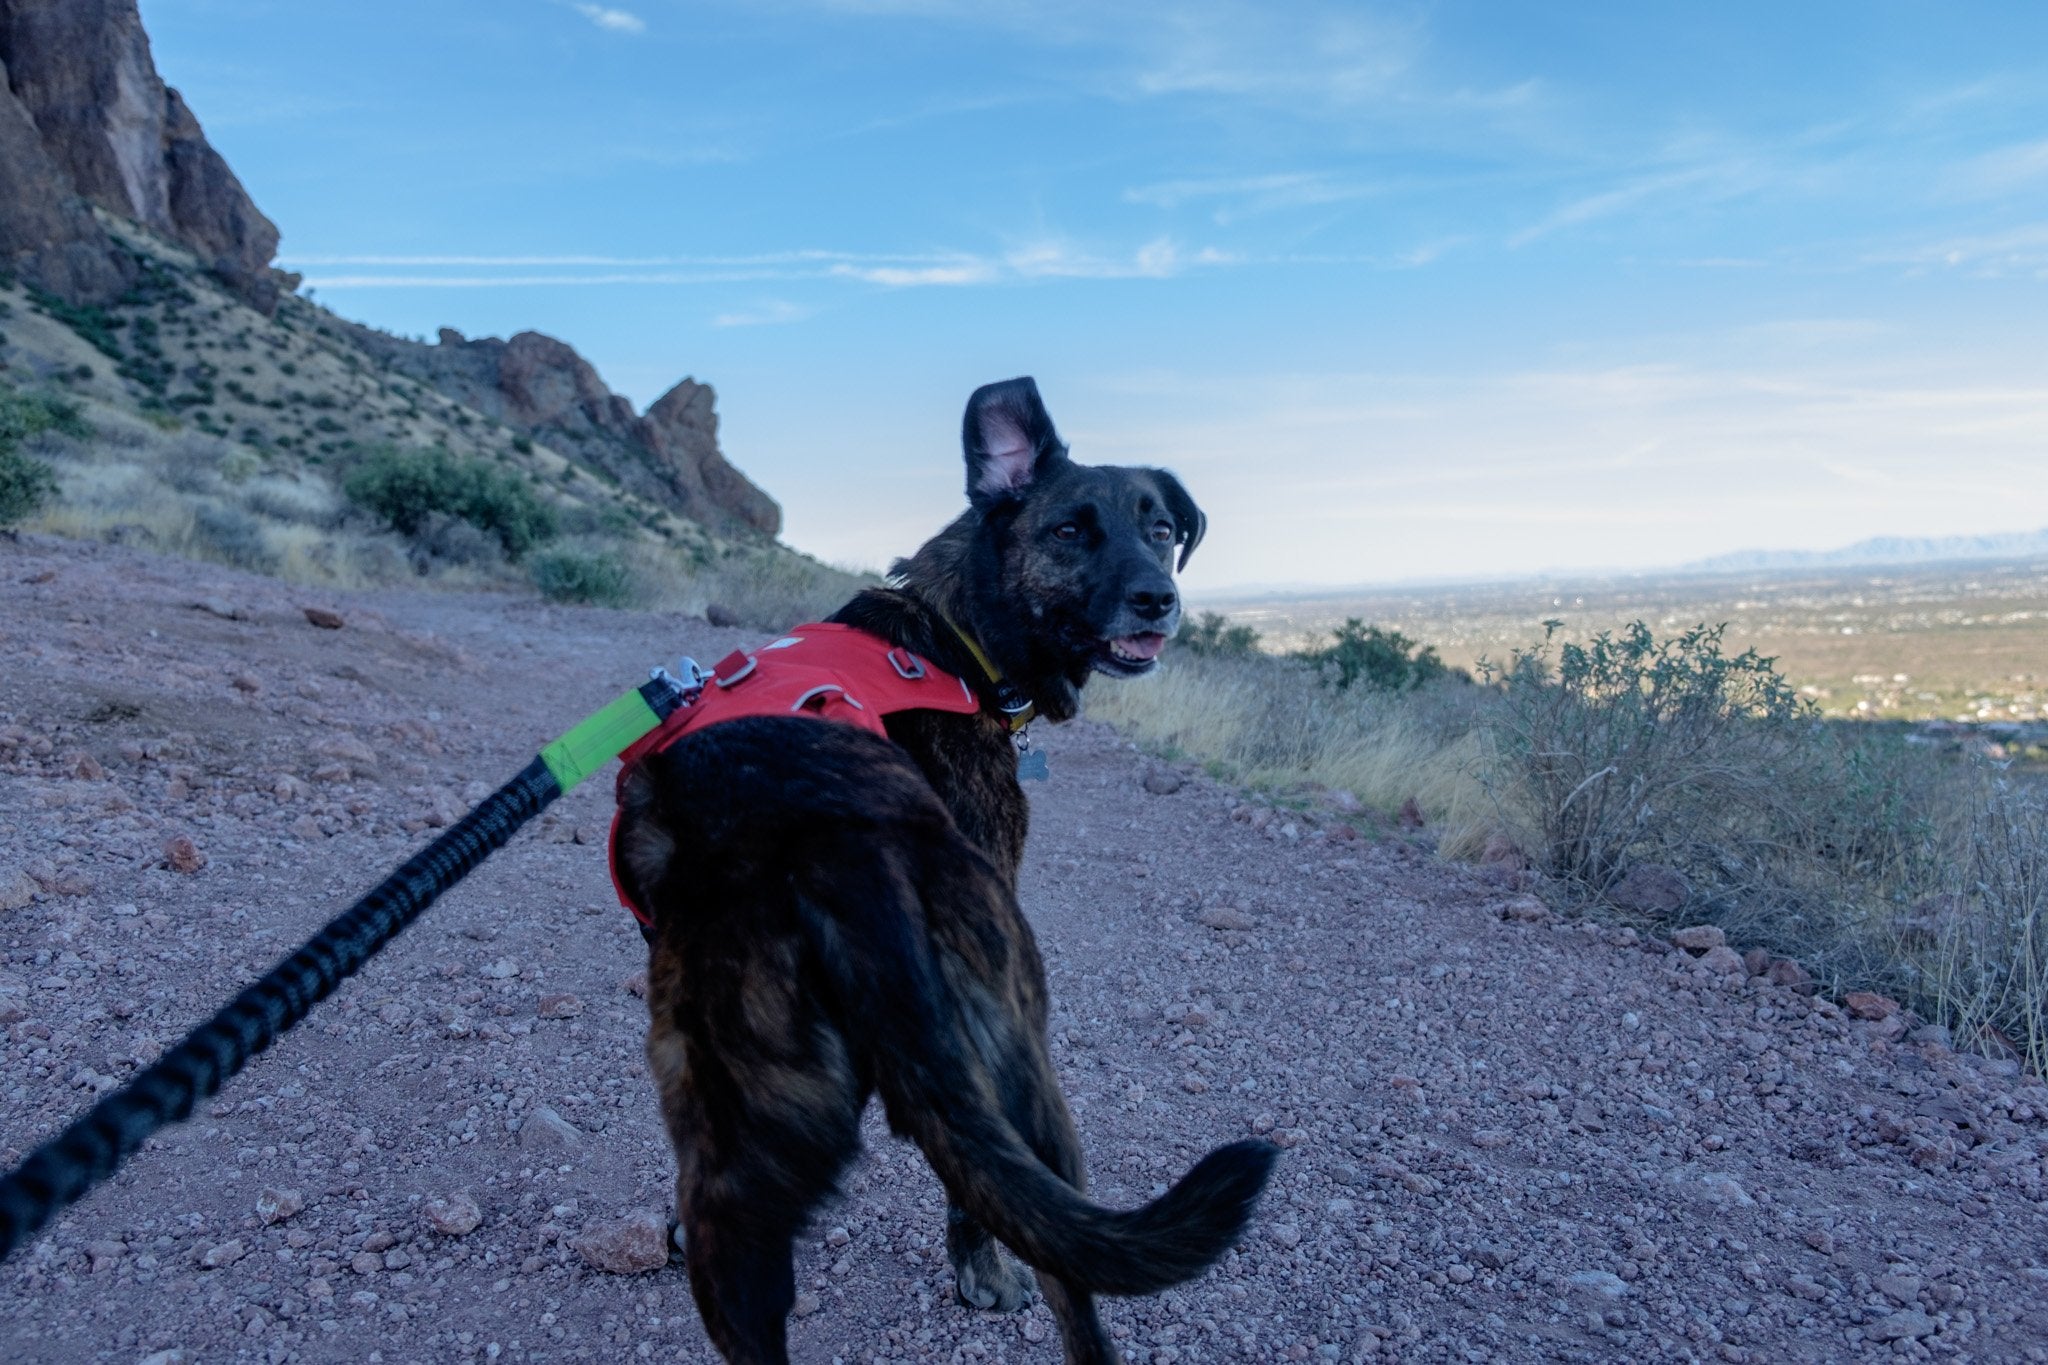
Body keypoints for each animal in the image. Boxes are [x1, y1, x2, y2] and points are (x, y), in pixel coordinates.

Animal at [610, 376, 1277, 1365]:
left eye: (1159, 527)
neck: (949, 633)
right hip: (1022, 1073)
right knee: (1063, 1279)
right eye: (1069, 531)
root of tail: (836, 856)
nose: (1159, 599)